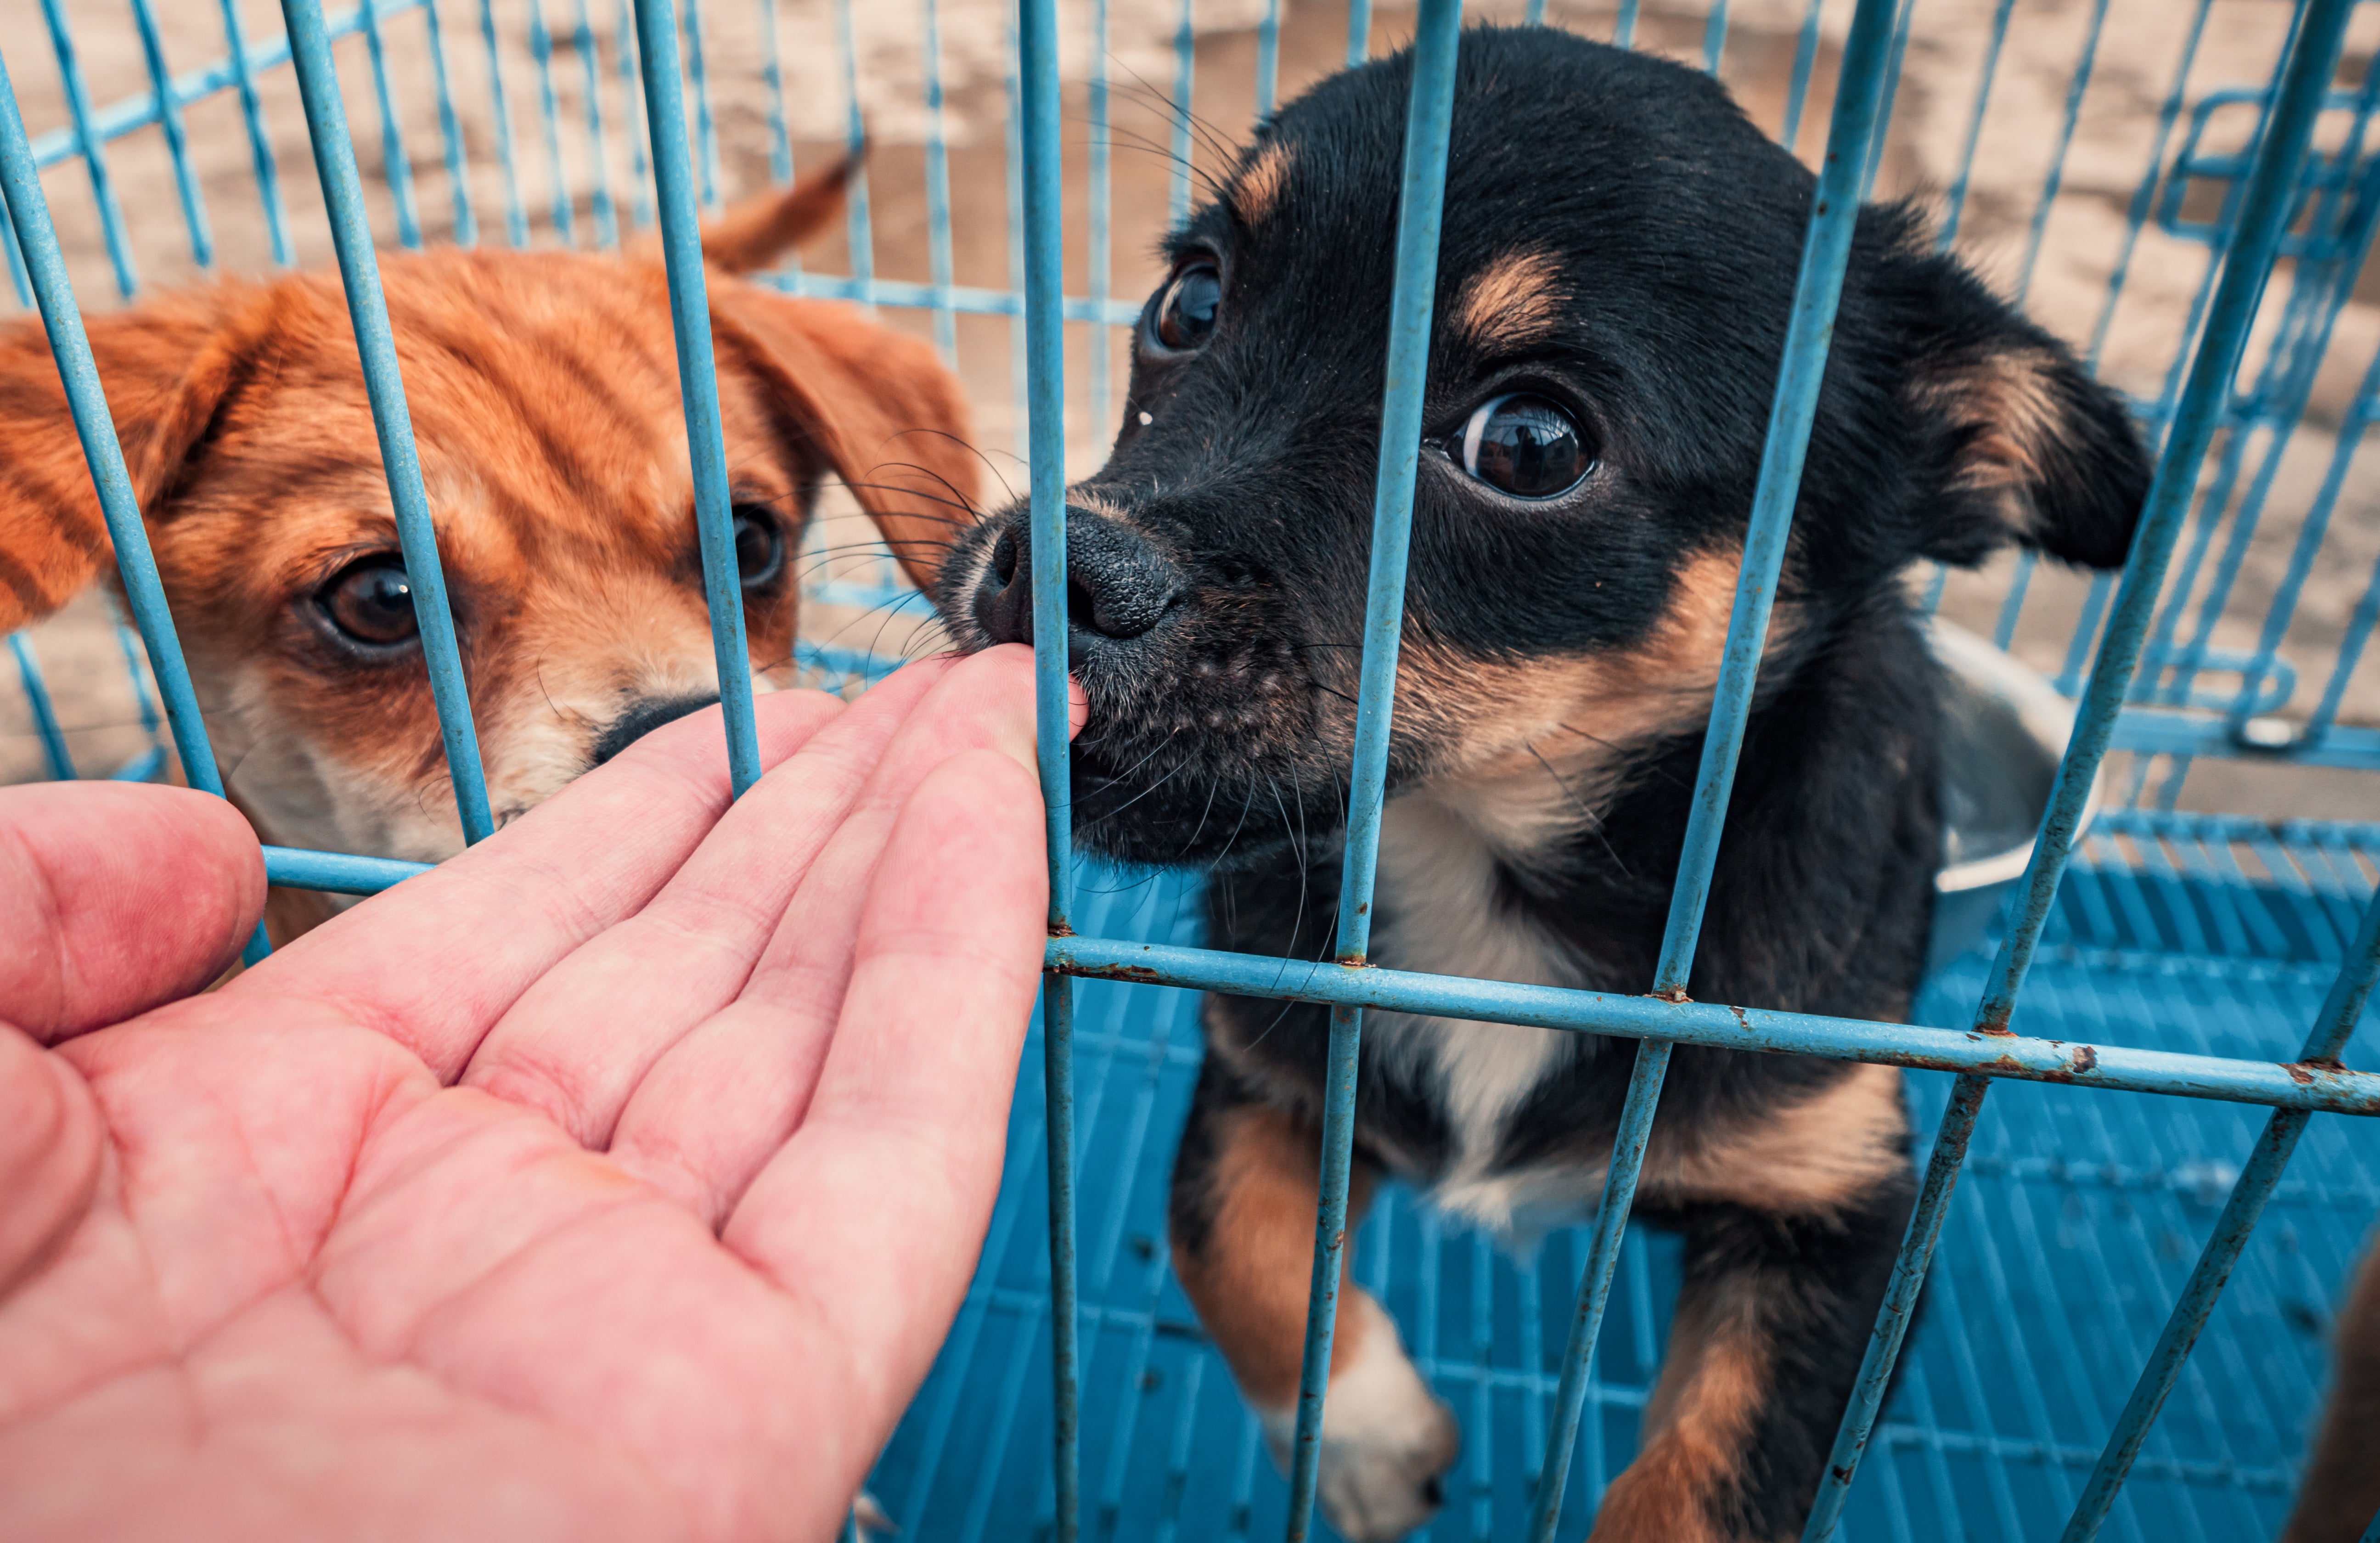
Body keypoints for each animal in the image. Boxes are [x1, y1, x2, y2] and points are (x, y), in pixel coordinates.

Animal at [938, 27, 2151, 1543]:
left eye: (1529, 444)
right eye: (1188, 302)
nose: (1047, 570)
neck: (1484, 870)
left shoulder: (1839, 1217)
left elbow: (1709, 1483)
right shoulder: (1261, 1068)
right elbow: (1228, 1243)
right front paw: (1367, 1438)